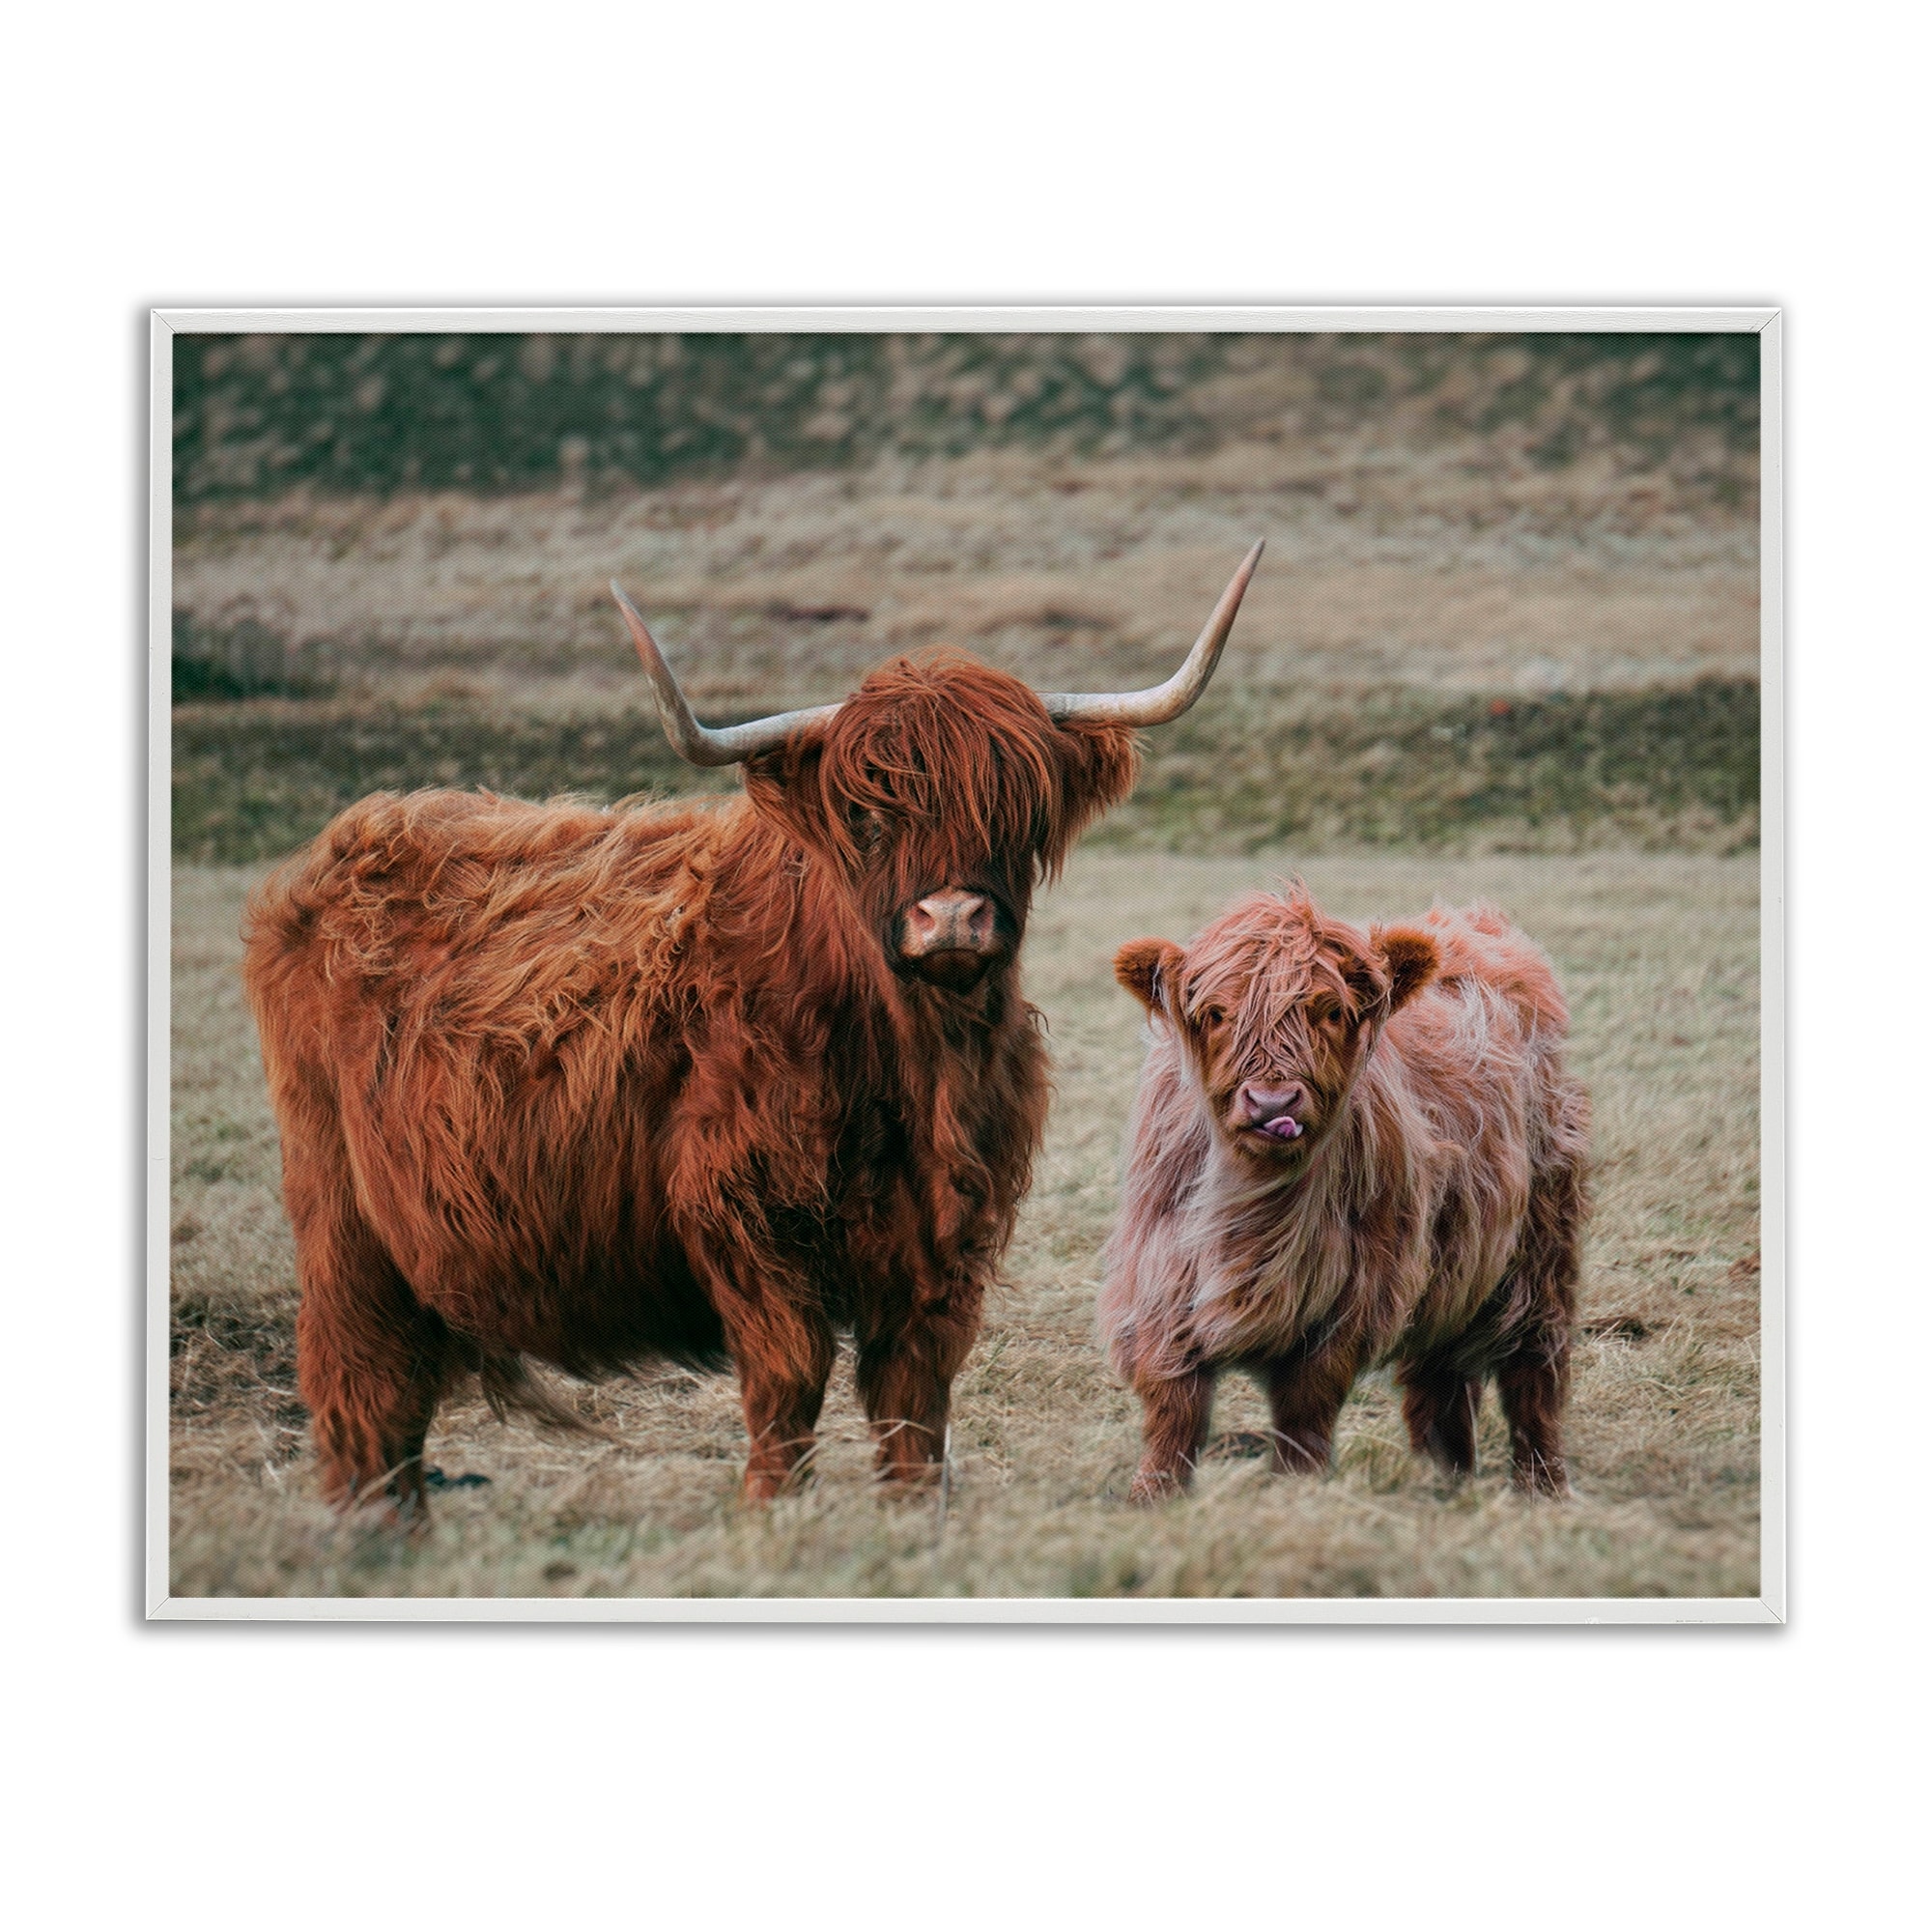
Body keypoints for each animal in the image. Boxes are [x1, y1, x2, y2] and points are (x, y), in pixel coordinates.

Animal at [242, 543, 1264, 1522]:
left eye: (1020, 809)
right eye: (866, 813)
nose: (952, 919)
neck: (910, 1068)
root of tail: (347, 842)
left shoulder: (947, 1235)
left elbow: (913, 1394)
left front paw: (911, 1515)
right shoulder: (745, 1211)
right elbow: (788, 1378)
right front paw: (772, 1512)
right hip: (340, 1213)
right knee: (362, 1383)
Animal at [1097, 883, 1589, 1502]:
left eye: (1330, 1011)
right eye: (1216, 1013)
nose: (1272, 1104)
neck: (1257, 1208)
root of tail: (1470, 924)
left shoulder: (1351, 1295)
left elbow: (1305, 1407)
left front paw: (1294, 1489)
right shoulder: (1161, 1280)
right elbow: (1173, 1405)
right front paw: (1153, 1496)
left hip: (1542, 1245)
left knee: (1534, 1369)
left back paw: (1540, 1487)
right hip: (1454, 1259)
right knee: (1440, 1376)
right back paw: (1443, 1479)